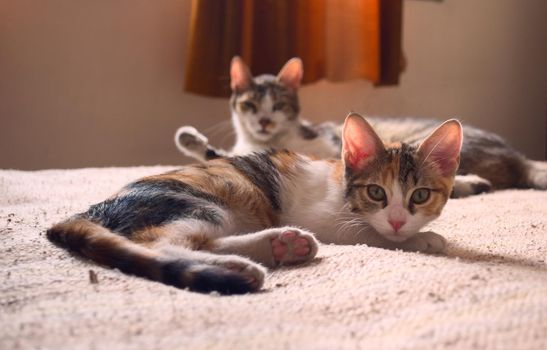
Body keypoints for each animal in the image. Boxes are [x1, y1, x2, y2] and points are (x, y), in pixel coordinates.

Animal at [49, 113, 464, 294]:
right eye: (376, 192)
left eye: (420, 195)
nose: (396, 220)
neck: (340, 182)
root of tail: (93, 209)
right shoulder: (328, 219)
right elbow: (367, 234)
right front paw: (419, 240)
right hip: (202, 201)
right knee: (163, 244)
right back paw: (241, 267)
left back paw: (279, 246)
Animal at [177, 55, 547, 197]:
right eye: (250, 105)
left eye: (279, 105)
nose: (265, 121)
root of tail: (518, 157)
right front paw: (189, 138)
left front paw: (188, 138)